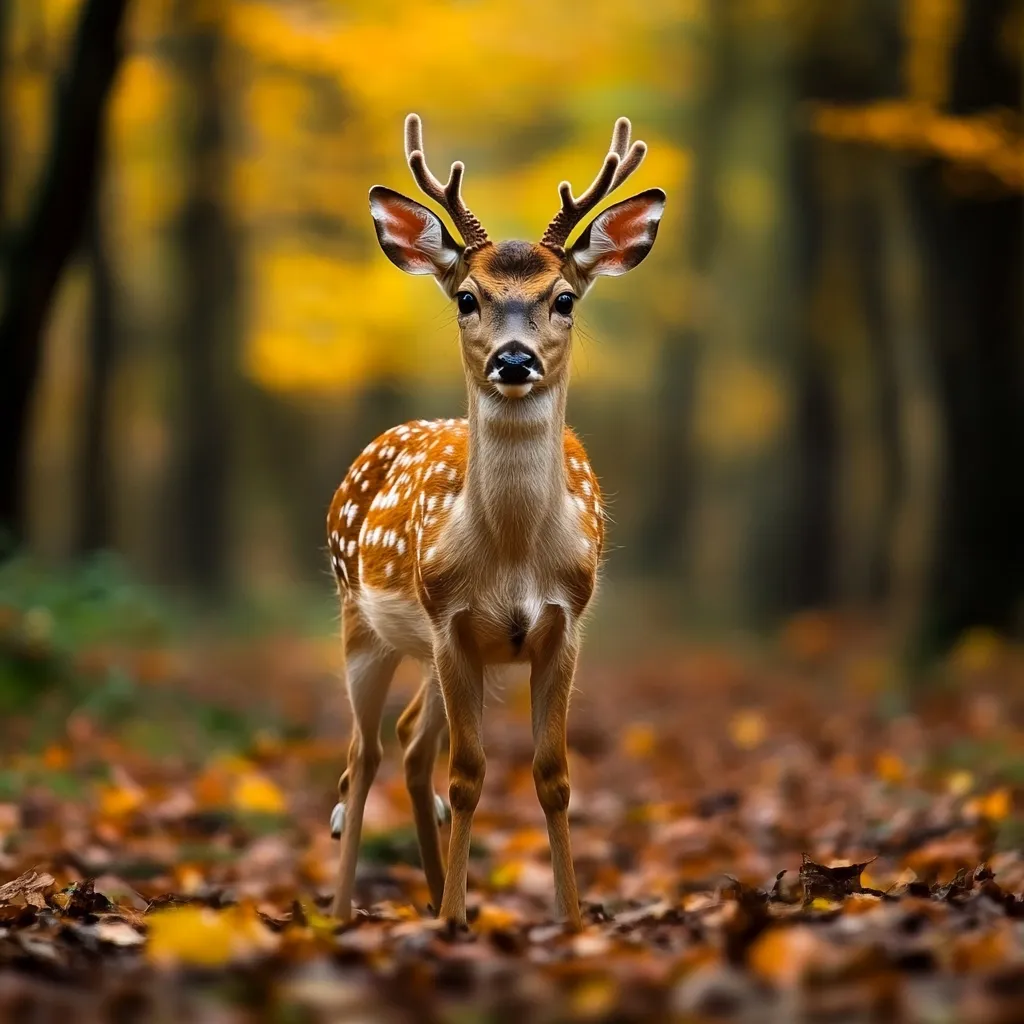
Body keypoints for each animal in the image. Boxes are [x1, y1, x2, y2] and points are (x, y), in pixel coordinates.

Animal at [326, 113, 665, 928]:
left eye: (565, 297)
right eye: (466, 298)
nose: (514, 360)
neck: (511, 555)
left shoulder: (563, 624)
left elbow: (552, 776)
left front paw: (570, 918)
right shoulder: (451, 621)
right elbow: (470, 776)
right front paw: (453, 918)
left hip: (442, 656)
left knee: (411, 743)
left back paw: (426, 894)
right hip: (361, 619)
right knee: (363, 756)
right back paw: (346, 910)